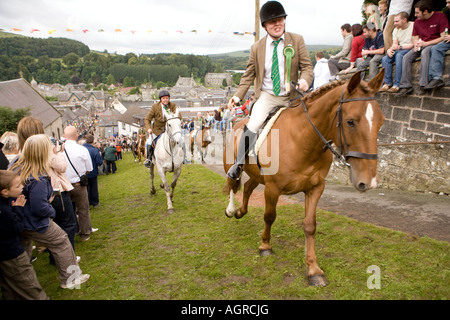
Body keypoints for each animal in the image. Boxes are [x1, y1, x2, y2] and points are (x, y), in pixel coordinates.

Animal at [223, 70, 384, 288]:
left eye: (381, 122)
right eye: (351, 121)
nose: (369, 182)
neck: (302, 140)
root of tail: (238, 123)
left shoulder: (315, 188)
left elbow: (310, 226)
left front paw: (313, 269)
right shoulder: (273, 188)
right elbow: (269, 216)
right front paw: (265, 245)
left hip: (257, 176)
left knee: (247, 187)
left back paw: (241, 211)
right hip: (233, 168)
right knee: (233, 185)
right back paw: (232, 210)